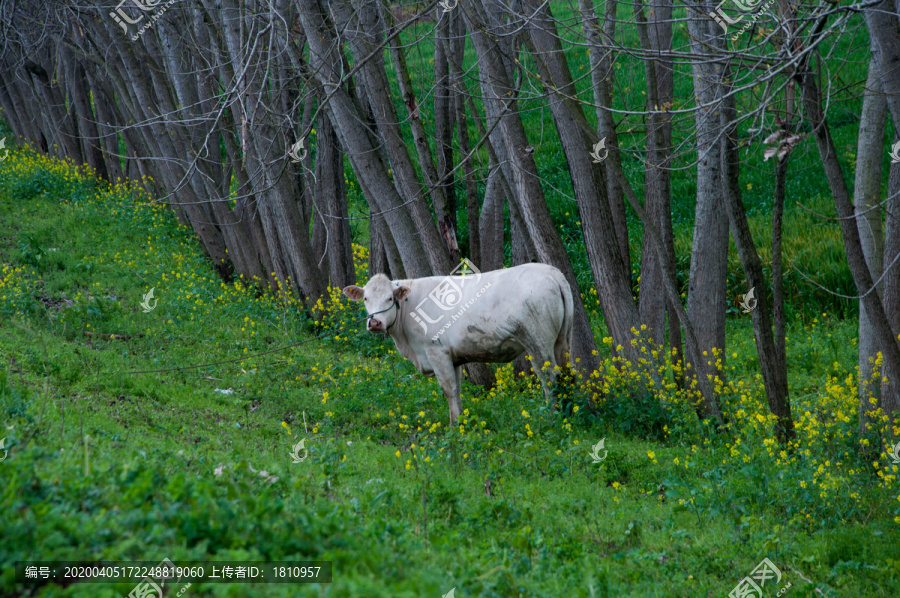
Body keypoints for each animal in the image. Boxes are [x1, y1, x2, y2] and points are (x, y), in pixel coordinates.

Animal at [342, 262, 572, 426]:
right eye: (365, 299)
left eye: (390, 298)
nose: (374, 322)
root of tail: (552, 272)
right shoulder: (453, 358)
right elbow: (458, 388)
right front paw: (461, 421)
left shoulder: (436, 352)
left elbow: (448, 389)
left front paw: (454, 428)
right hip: (561, 341)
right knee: (565, 373)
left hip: (538, 342)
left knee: (549, 378)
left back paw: (552, 418)